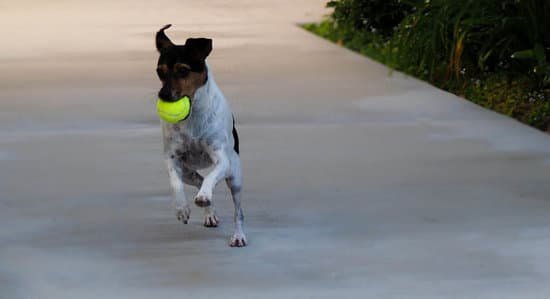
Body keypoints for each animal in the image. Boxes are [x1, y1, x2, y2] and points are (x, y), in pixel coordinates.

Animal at [154, 24, 247, 247]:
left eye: (183, 70)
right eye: (159, 72)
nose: (163, 95)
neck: (192, 116)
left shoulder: (222, 159)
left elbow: (211, 178)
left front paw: (204, 196)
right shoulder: (172, 159)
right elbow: (175, 184)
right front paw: (182, 208)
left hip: (235, 176)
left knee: (237, 211)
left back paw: (238, 235)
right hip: (187, 172)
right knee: (198, 179)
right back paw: (209, 213)